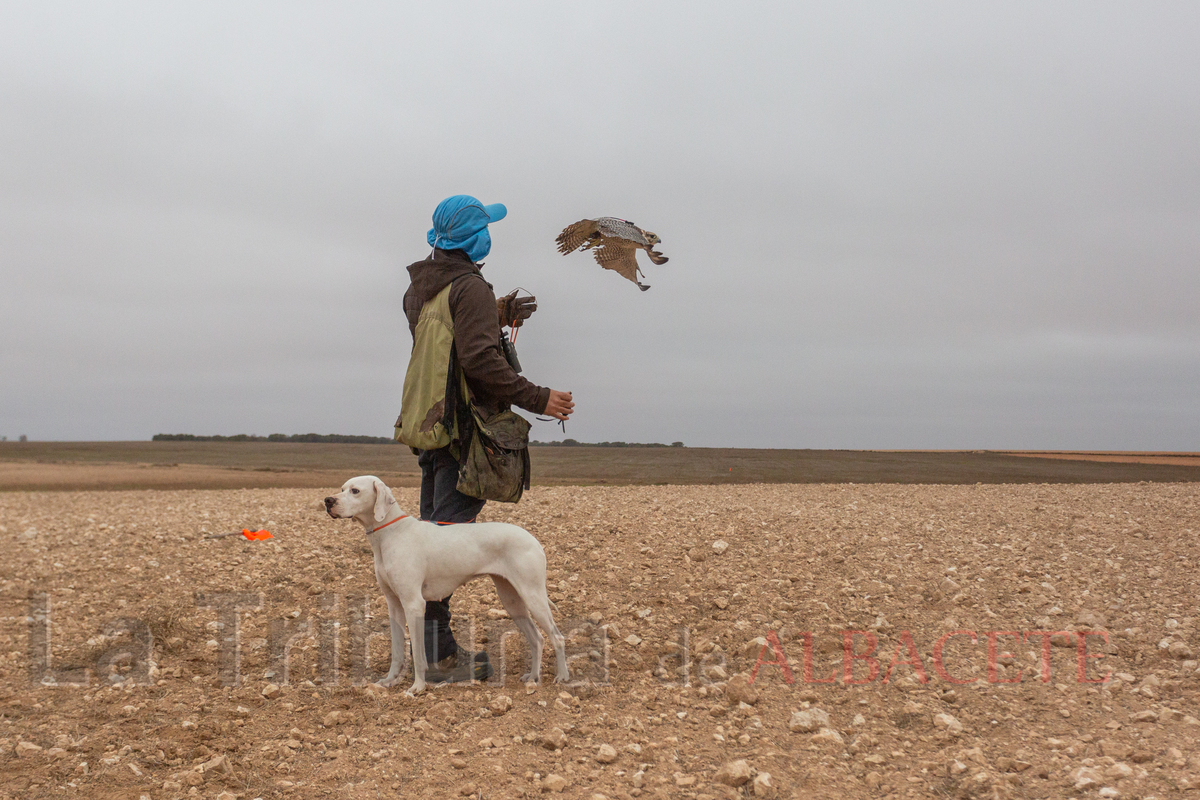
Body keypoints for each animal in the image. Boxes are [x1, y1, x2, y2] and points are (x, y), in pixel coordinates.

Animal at [324, 474, 566, 695]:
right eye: (342, 488)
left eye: (355, 491)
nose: (328, 500)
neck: (390, 534)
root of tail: (534, 540)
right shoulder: (394, 604)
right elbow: (397, 650)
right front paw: (389, 680)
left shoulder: (414, 604)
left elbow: (418, 653)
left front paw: (417, 687)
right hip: (512, 600)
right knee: (537, 639)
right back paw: (533, 677)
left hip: (533, 596)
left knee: (557, 637)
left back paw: (562, 677)